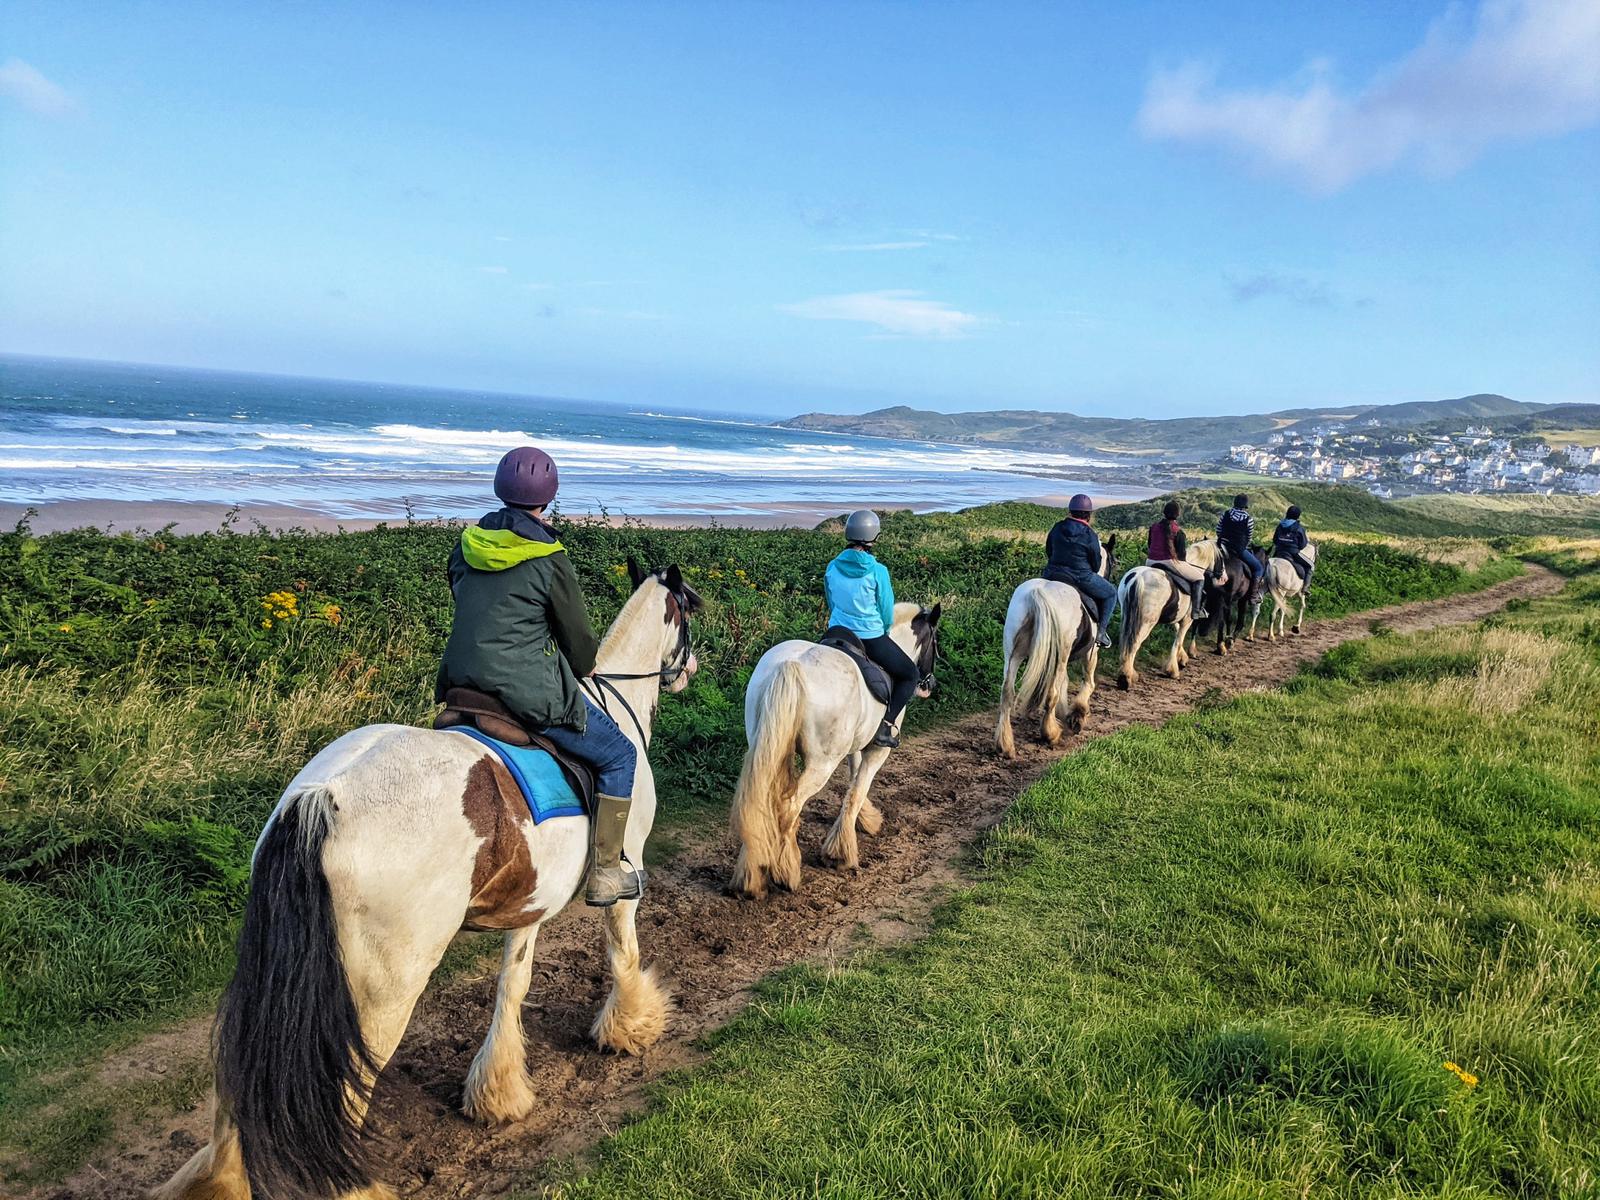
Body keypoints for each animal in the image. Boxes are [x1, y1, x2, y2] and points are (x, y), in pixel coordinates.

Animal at [159, 563, 704, 1200]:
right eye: (687, 610)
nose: (689, 669)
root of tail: (322, 799)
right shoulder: (625, 870)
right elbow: (622, 949)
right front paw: (632, 1027)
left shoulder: (530, 905)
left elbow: (512, 984)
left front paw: (497, 1093)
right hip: (383, 987)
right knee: (347, 1092)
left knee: (239, 1080)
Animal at [732, 604, 940, 896]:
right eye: (935, 641)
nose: (929, 685)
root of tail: (790, 666)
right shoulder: (878, 750)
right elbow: (858, 788)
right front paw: (840, 853)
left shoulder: (853, 744)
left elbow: (854, 780)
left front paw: (865, 819)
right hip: (822, 764)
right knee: (789, 806)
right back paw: (786, 872)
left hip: (765, 748)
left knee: (761, 803)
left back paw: (751, 875)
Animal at [992, 537, 1120, 761]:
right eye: (1111, 560)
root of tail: (1037, 593)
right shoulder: (1090, 653)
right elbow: (1088, 682)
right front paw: (1077, 715)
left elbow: (1065, 682)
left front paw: (1064, 713)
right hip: (1059, 654)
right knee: (1050, 694)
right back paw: (1050, 734)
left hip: (1013, 653)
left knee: (1007, 693)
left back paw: (1005, 746)